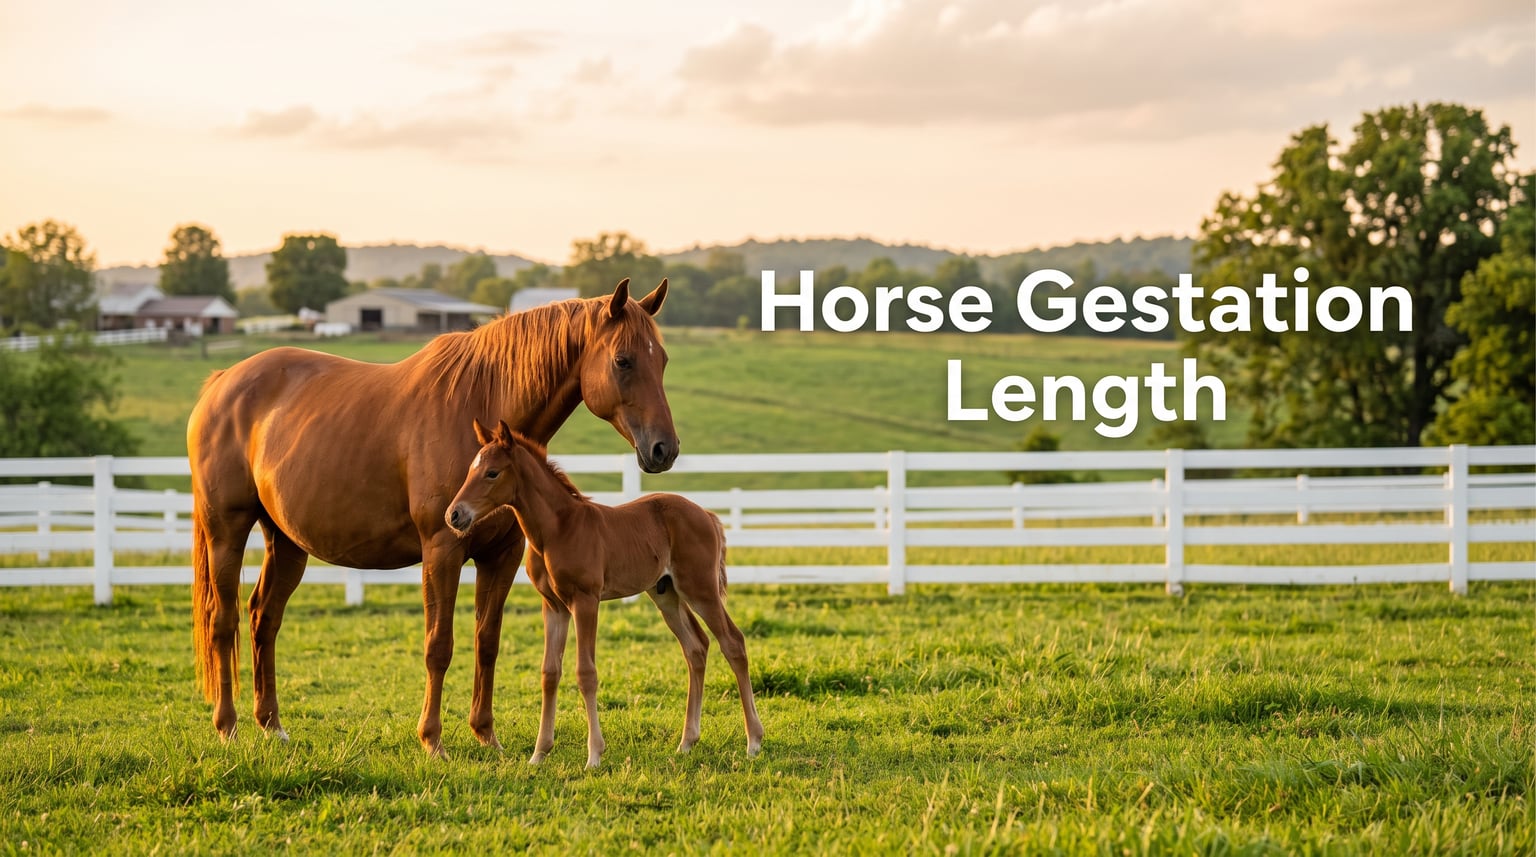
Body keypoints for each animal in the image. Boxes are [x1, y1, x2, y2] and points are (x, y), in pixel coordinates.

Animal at [188, 278, 678, 758]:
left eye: (663, 359)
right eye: (623, 360)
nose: (664, 449)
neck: (478, 401)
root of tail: (221, 383)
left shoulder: (502, 555)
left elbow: (487, 641)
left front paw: (486, 734)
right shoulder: (442, 549)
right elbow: (439, 645)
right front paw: (432, 739)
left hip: (286, 543)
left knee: (263, 618)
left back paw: (272, 726)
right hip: (226, 531)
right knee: (224, 621)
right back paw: (227, 727)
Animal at [445, 419, 763, 768]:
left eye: (492, 473)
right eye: (470, 470)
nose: (454, 515)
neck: (558, 529)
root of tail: (707, 515)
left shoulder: (585, 601)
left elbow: (586, 672)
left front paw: (594, 755)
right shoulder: (553, 606)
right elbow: (549, 673)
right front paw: (539, 753)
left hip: (701, 589)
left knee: (732, 642)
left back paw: (753, 742)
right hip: (666, 594)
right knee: (696, 647)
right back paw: (687, 742)